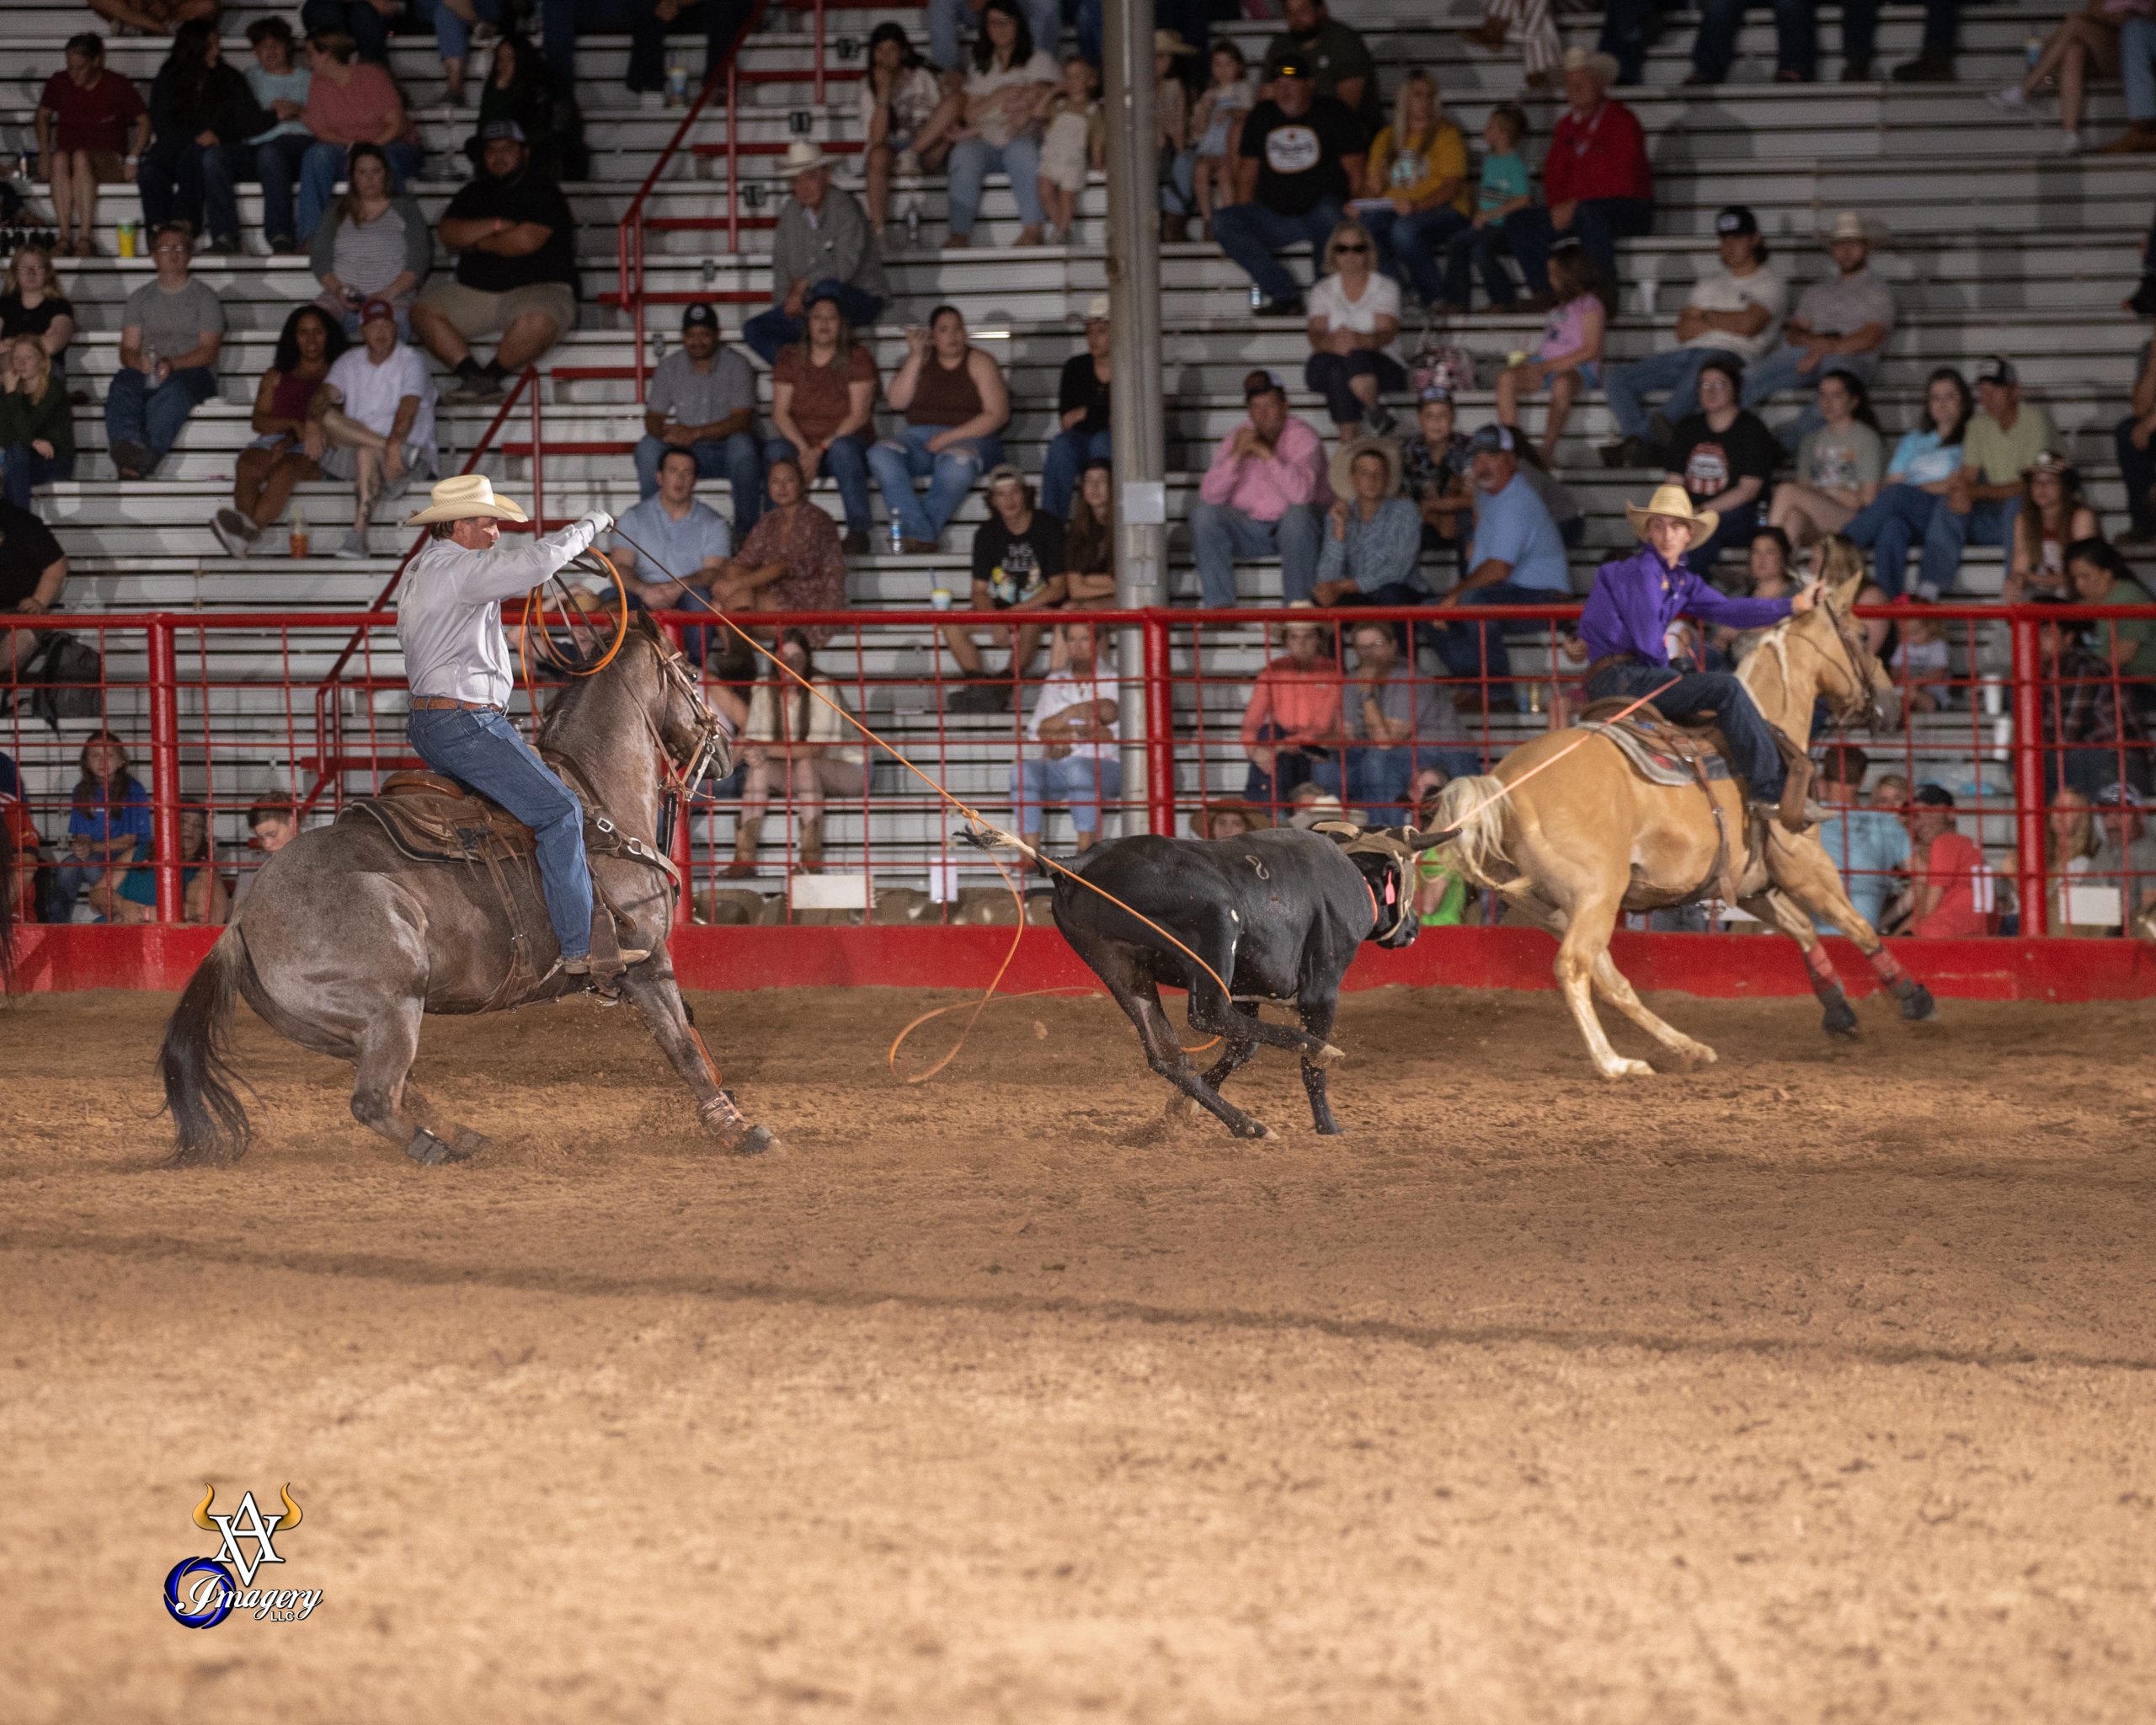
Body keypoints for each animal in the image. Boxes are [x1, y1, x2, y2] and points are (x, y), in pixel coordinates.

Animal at [157, 612, 784, 1164]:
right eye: (693, 674)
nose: (726, 751)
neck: (600, 803)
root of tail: (243, 921)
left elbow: (693, 1039)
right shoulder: (647, 965)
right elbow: (685, 1048)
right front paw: (739, 1129)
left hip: (343, 1031)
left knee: (400, 1090)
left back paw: (463, 1134)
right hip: (393, 1008)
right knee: (374, 1101)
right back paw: (439, 1149)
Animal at [1431, 573, 1940, 1069]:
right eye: (1862, 635)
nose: (1889, 706)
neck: (1769, 725)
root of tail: (1503, 785)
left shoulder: (1751, 884)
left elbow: (1802, 928)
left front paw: (1837, 1007)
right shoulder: (1804, 865)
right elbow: (1856, 925)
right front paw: (1913, 997)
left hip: (1554, 908)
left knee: (1610, 978)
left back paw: (1686, 1047)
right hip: (1596, 894)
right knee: (1574, 966)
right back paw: (1615, 1063)